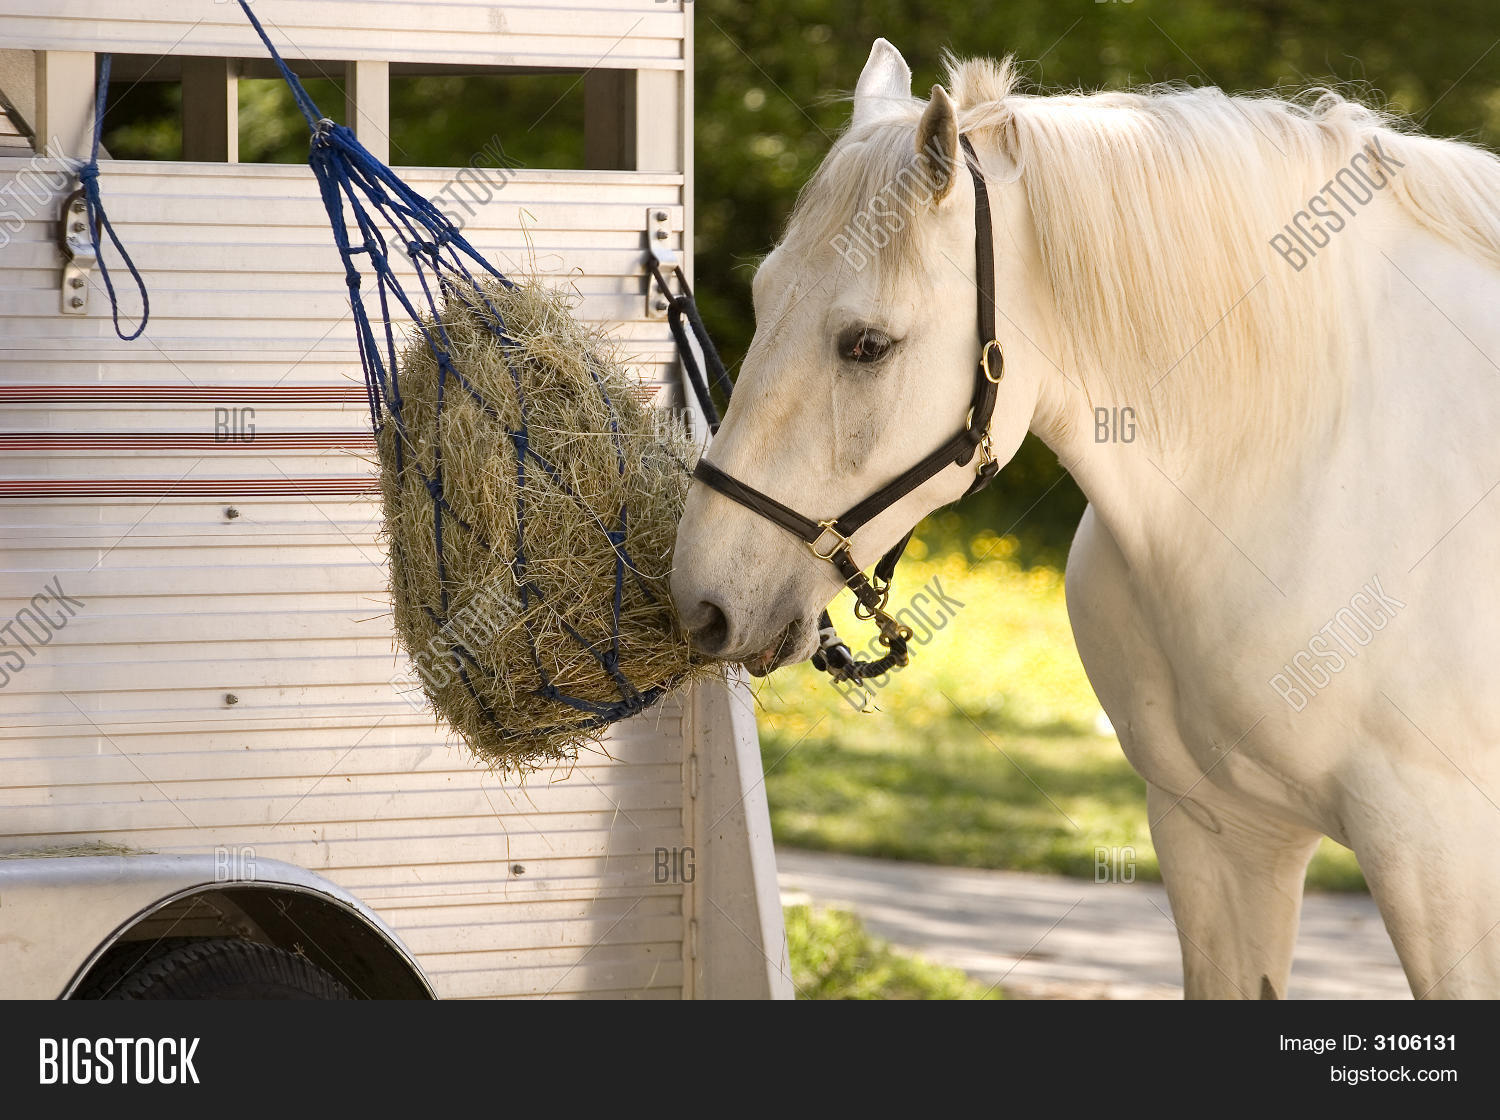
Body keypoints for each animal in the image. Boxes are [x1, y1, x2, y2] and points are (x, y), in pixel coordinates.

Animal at [671, 39, 1500, 998]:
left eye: (867, 346)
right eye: (763, 299)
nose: (700, 602)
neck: (1310, 454)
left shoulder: (1441, 860)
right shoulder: (1218, 835)